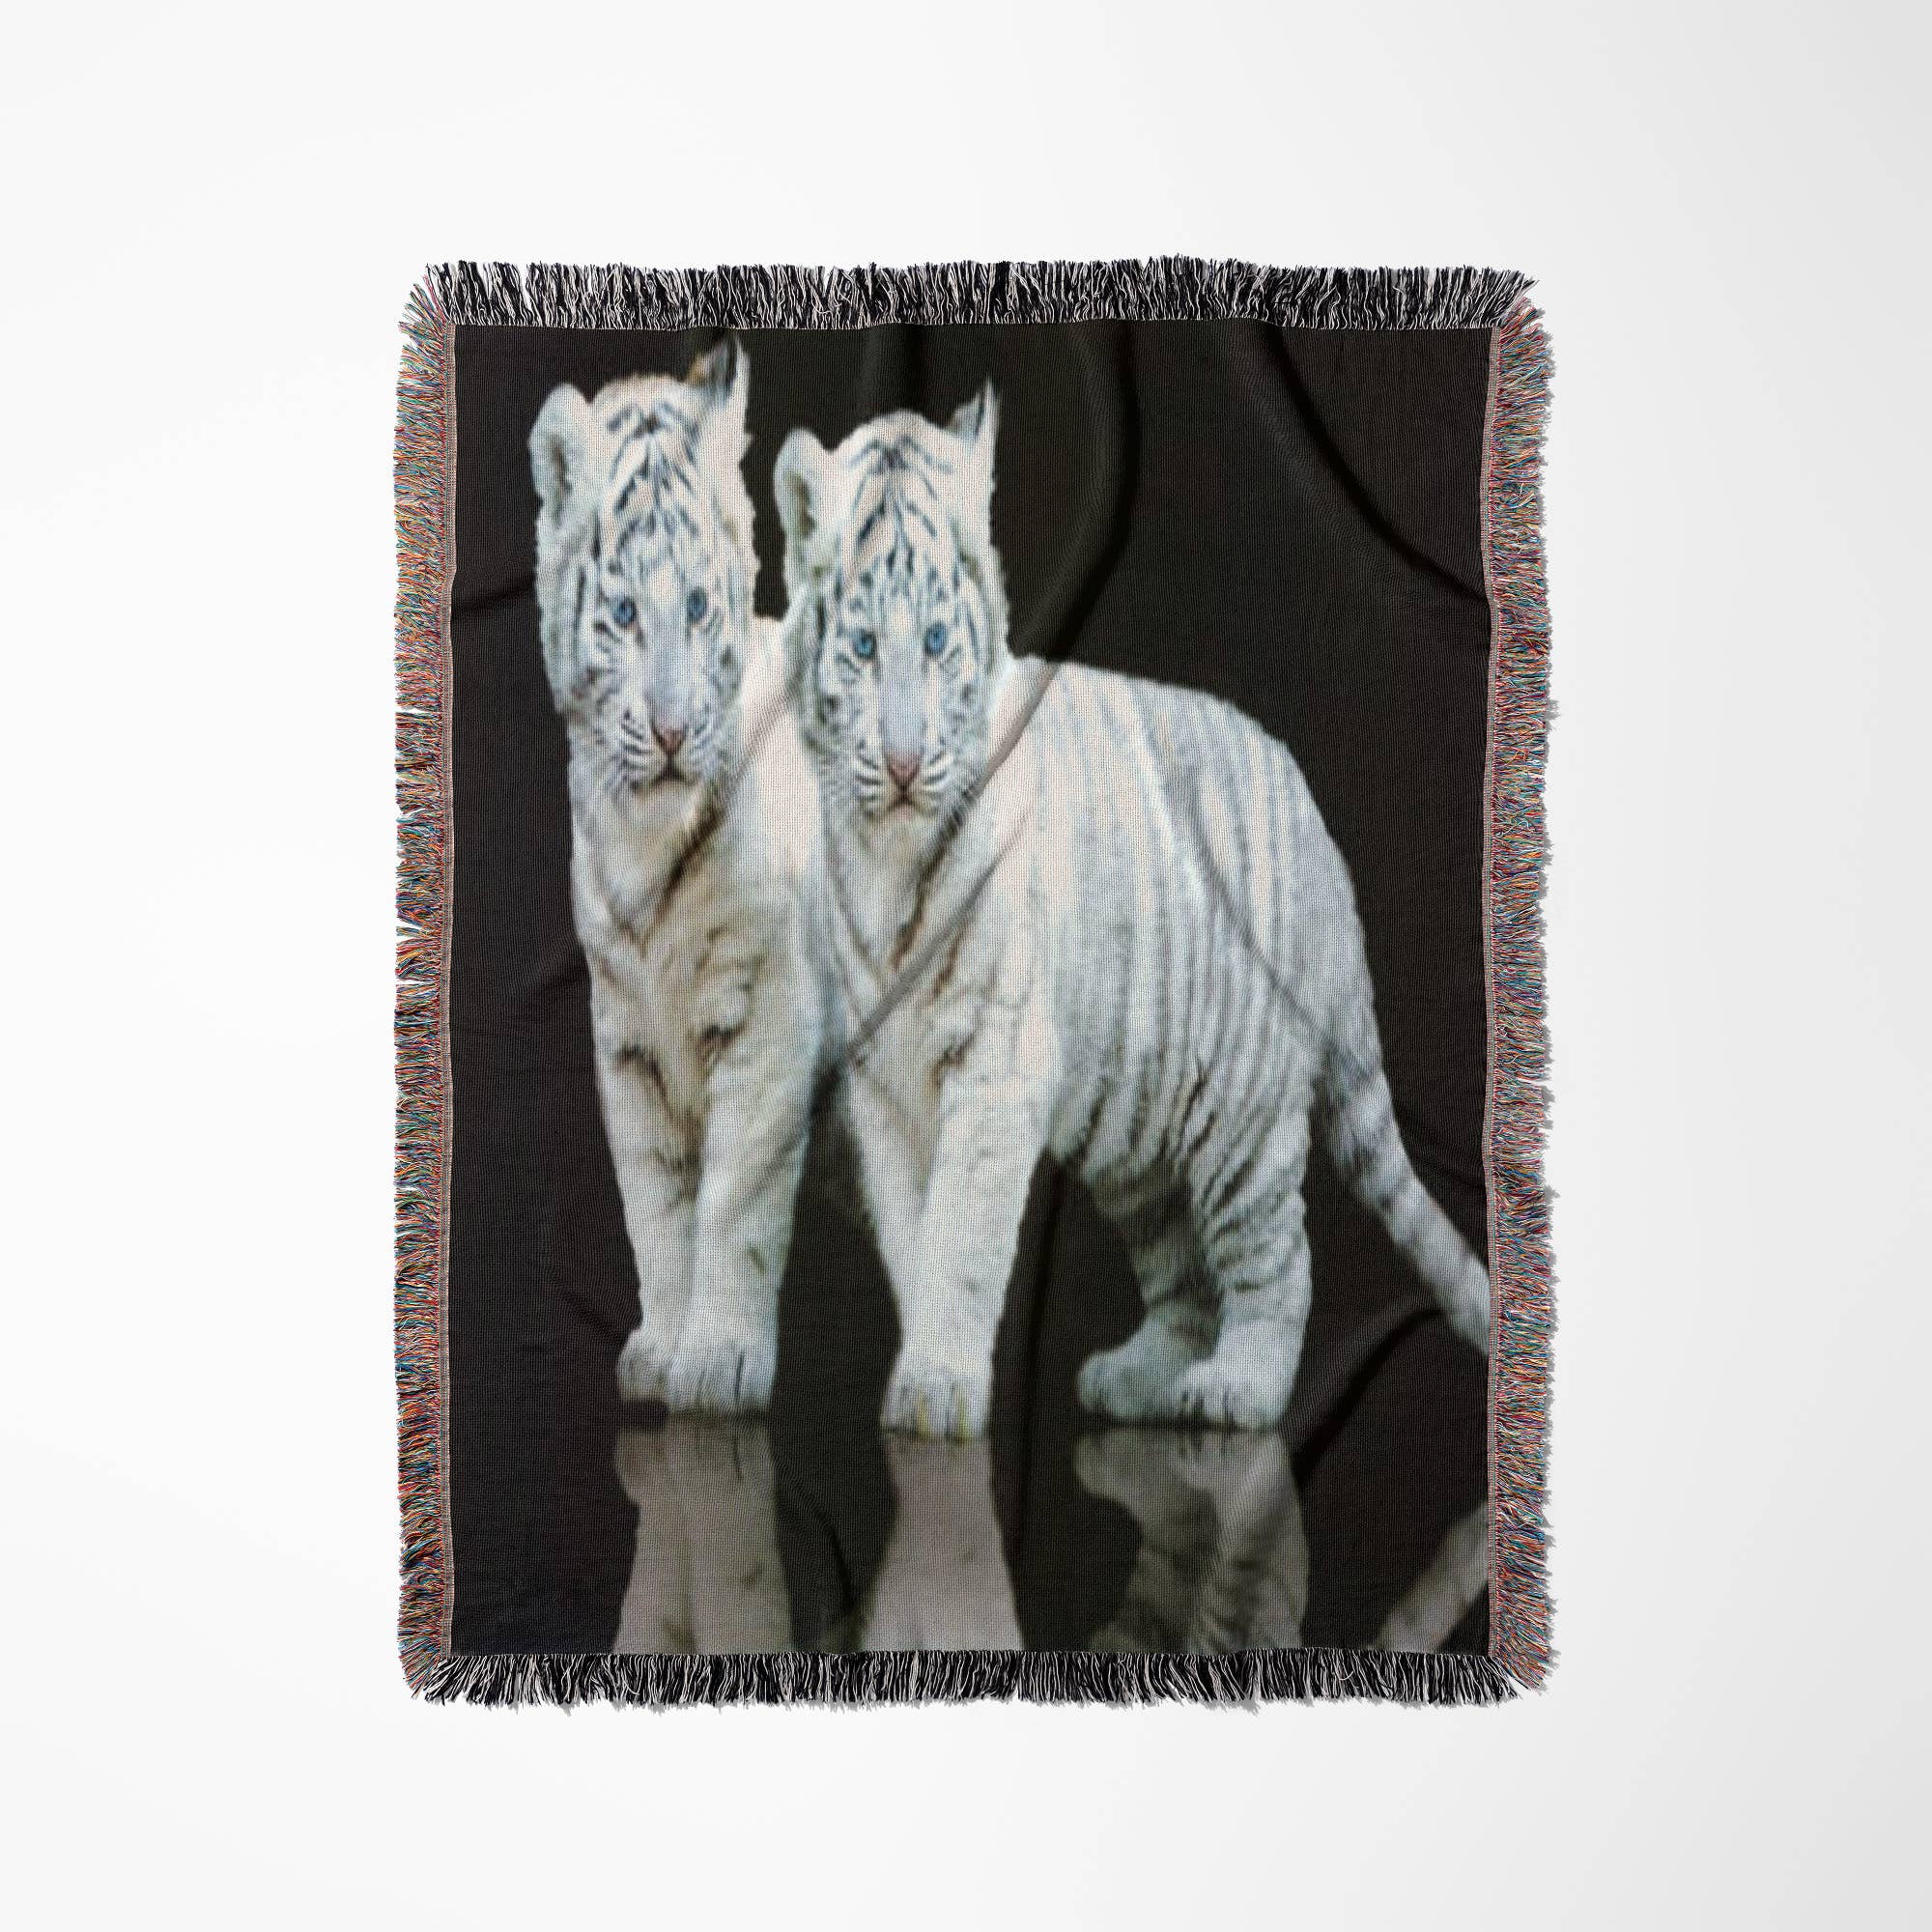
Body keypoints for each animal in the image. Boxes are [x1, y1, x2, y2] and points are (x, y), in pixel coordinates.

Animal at [530, 339, 825, 1414]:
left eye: (698, 606)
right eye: (622, 613)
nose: (665, 732)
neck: (642, 843)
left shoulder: (771, 1015)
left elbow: (734, 1203)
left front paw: (721, 1359)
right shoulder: (623, 1038)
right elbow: (653, 1206)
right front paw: (660, 1345)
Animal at [772, 389, 1490, 1438]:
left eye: (938, 644)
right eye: (862, 649)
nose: (903, 765)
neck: (887, 862)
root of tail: (1313, 821)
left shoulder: (997, 1063)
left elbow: (962, 1232)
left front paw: (939, 1384)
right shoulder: (886, 1081)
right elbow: (913, 1230)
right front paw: (925, 1368)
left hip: (1243, 1121)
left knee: (1279, 1265)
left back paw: (1239, 1390)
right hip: (1139, 1130)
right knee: (1181, 1276)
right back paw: (1137, 1378)